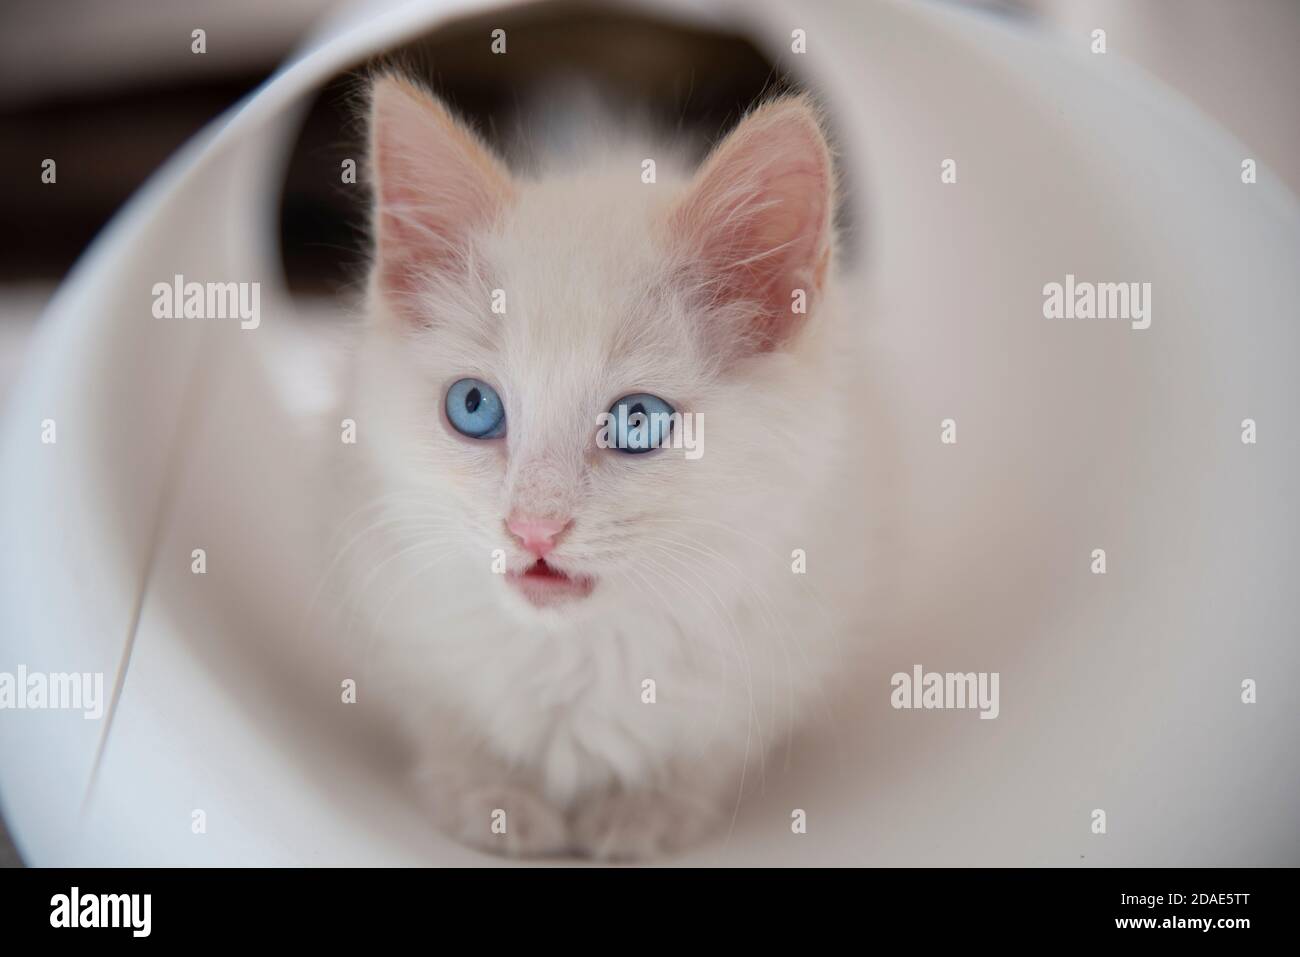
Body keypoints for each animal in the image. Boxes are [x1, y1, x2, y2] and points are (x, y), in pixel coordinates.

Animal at [340, 74, 878, 858]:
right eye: (474, 406)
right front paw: (493, 799)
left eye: (636, 421)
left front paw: (647, 811)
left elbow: (706, 744)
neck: (581, 650)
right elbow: (448, 717)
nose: (532, 528)